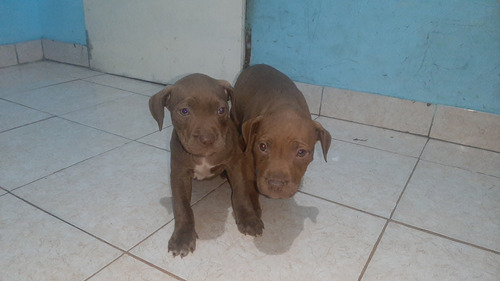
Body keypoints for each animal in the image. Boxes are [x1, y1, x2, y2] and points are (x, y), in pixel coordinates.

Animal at [149, 73, 262, 258]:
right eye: (184, 111)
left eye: (221, 110)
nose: (207, 139)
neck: (203, 157)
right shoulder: (179, 174)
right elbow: (182, 206)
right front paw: (182, 237)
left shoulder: (235, 164)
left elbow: (241, 192)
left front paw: (249, 218)